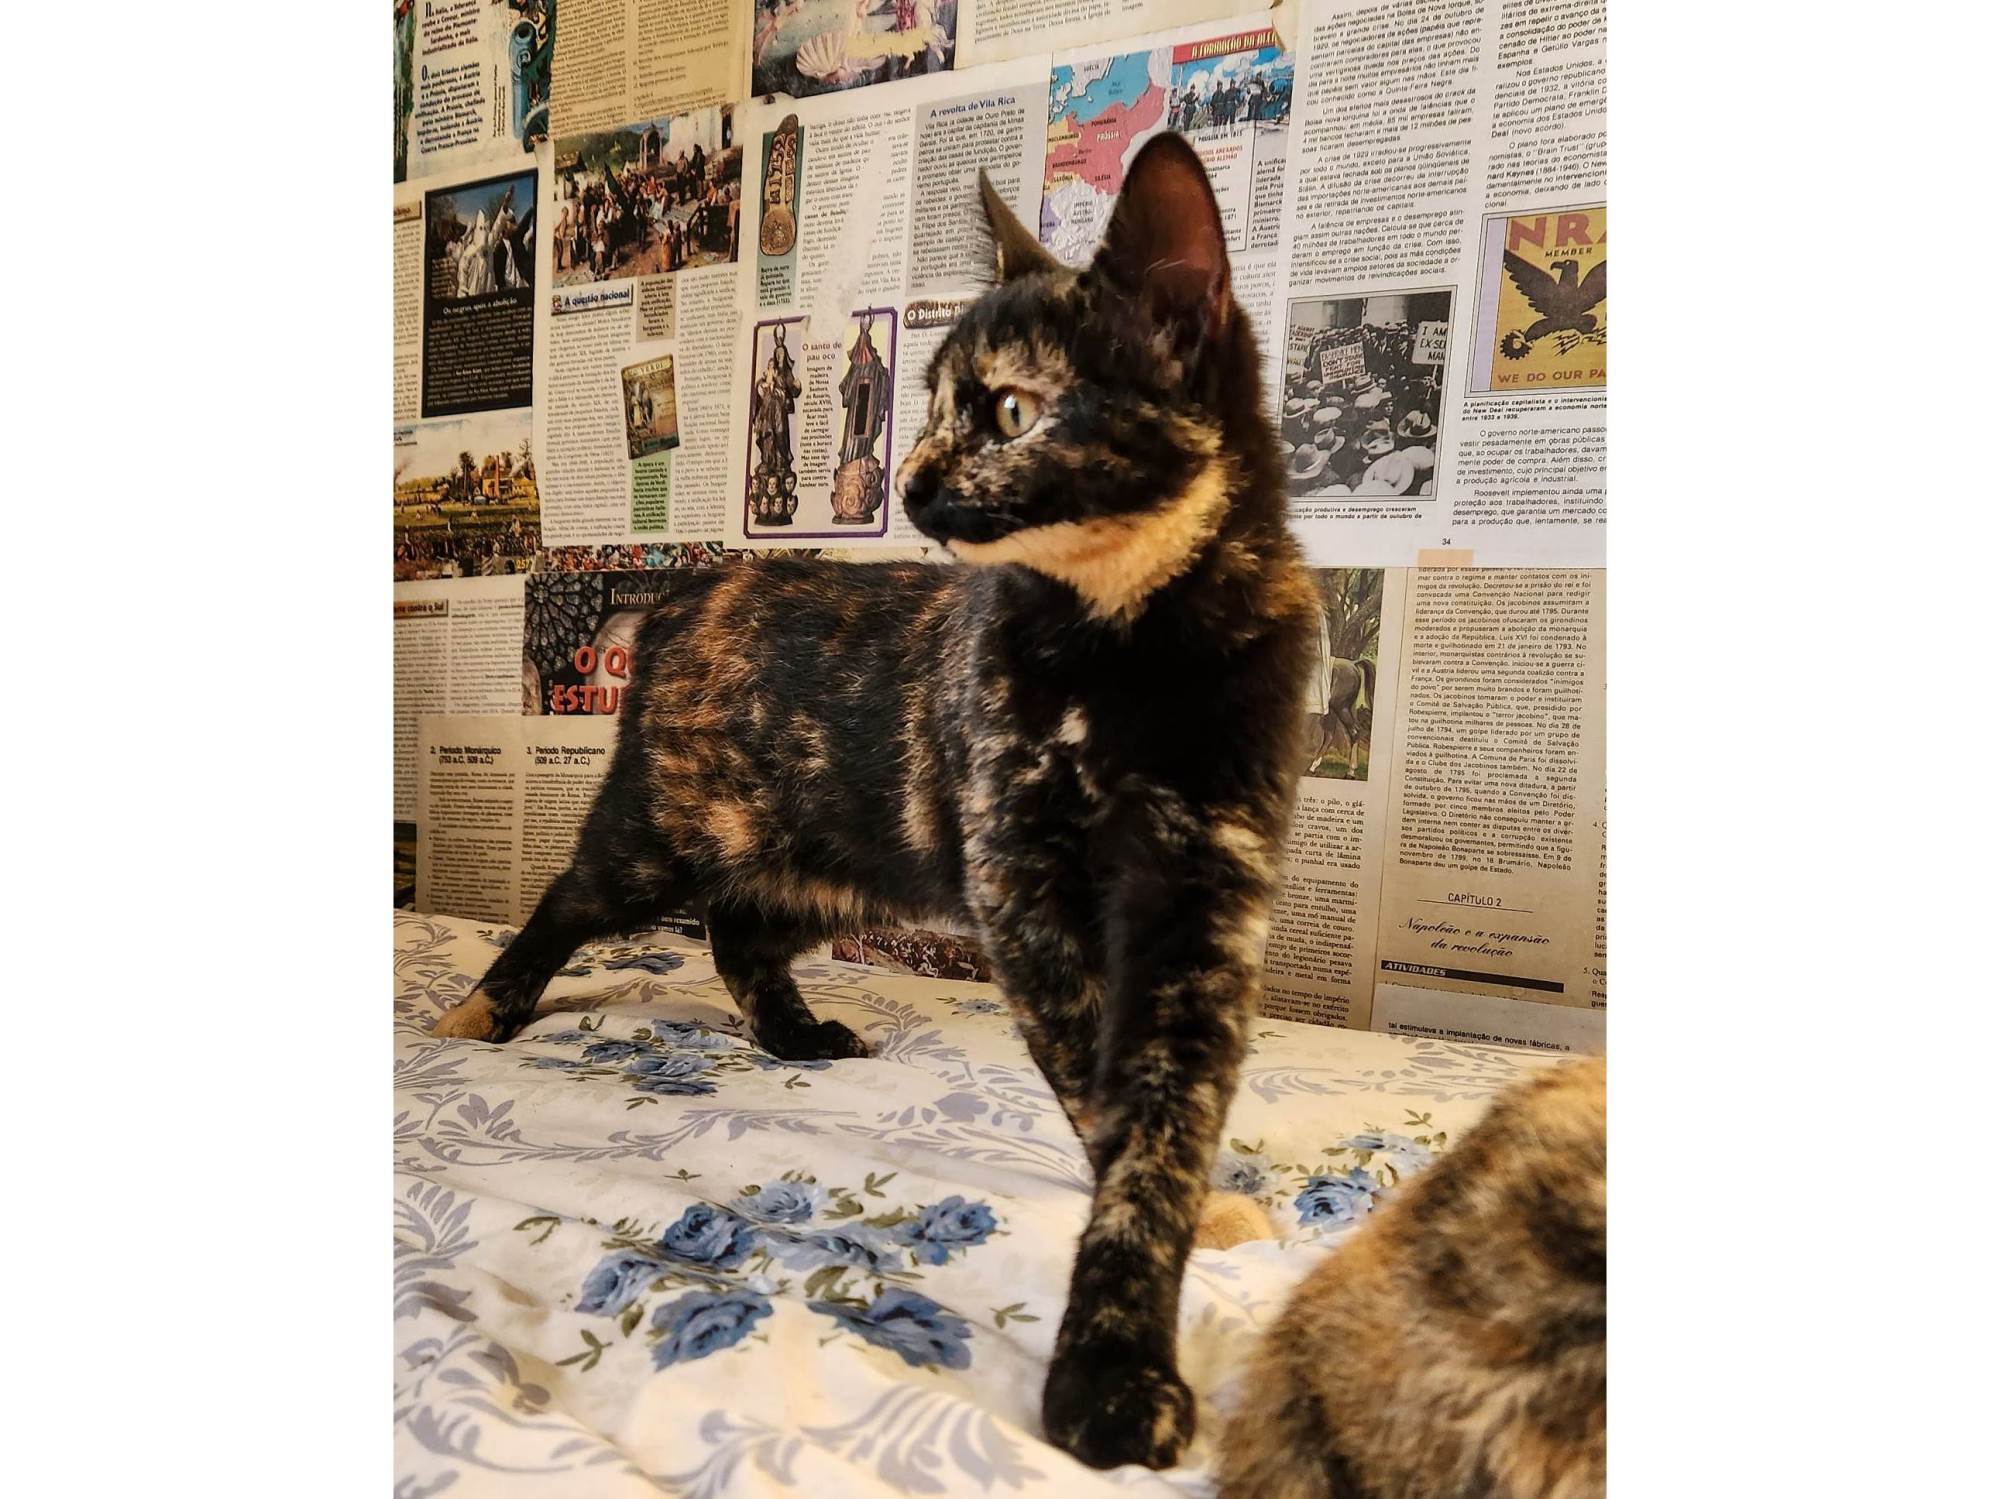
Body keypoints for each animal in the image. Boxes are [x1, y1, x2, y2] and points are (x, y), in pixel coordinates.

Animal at [433, 133, 1318, 1470]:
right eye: (935, 399)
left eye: (1007, 411)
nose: (910, 478)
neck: (1128, 647)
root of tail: (687, 589)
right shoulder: (1019, 890)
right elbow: (1099, 1084)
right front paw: (1111, 1373)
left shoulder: (1206, 901)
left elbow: (1164, 1114)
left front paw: (1151, 1286)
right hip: (664, 833)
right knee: (567, 901)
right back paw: (485, 1008)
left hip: (834, 866)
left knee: (740, 934)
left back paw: (796, 1034)